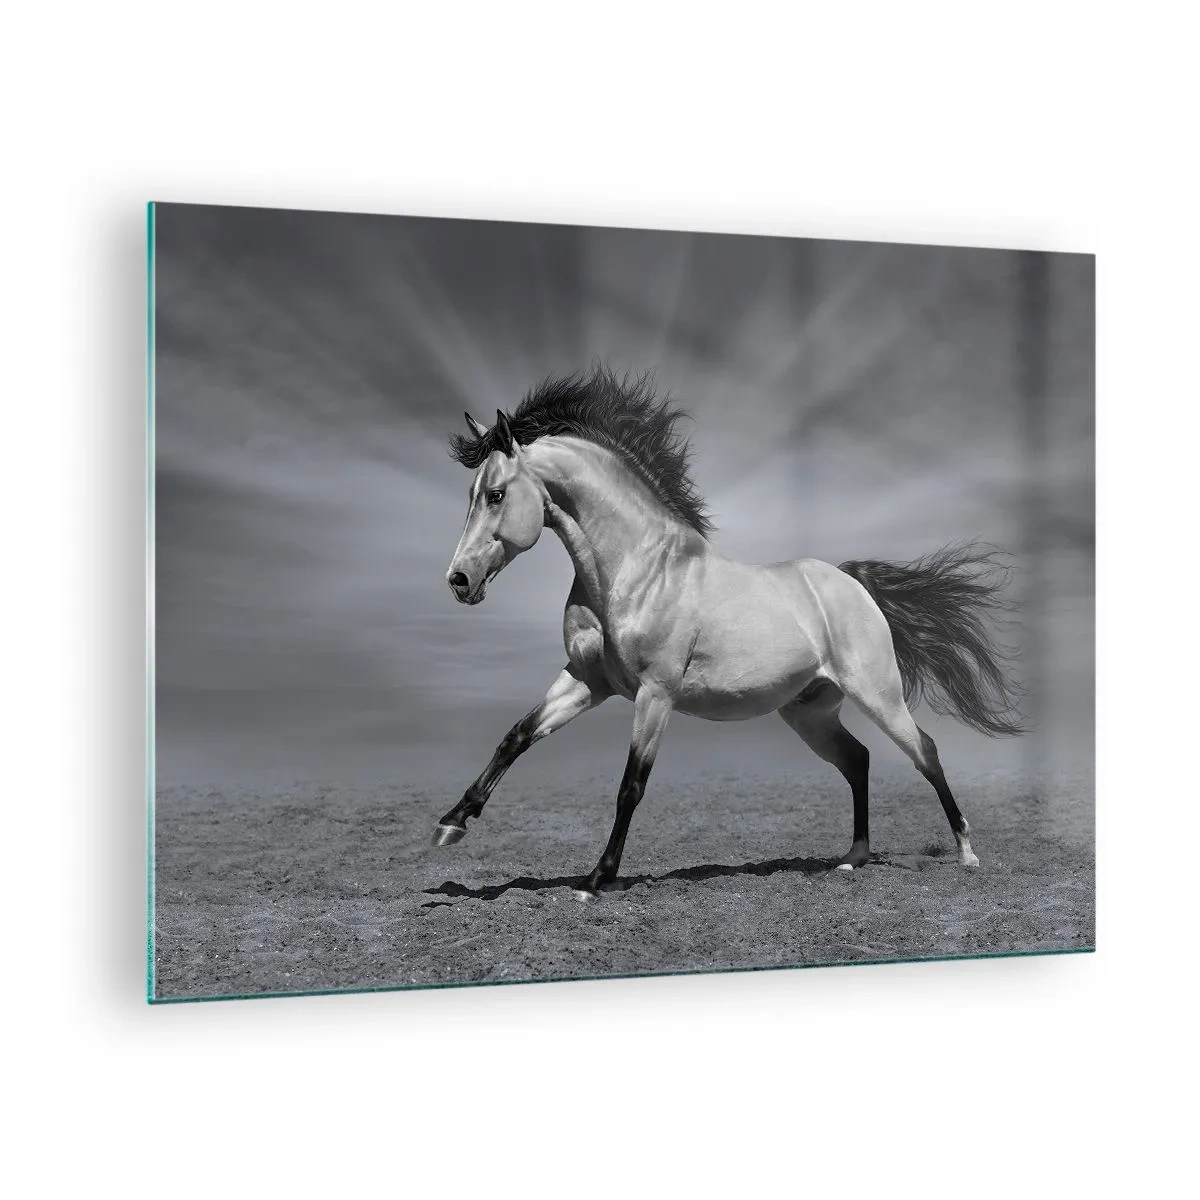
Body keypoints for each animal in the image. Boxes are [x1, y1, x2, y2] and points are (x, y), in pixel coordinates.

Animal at [433, 367, 1023, 901]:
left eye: (495, 495)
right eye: (472, 494)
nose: (459, 581)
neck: (634, 569)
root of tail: (851, 583)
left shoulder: (655, 694)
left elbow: (631, 786)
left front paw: (596, 879)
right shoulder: (586, 680)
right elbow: (516, 735)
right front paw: (452, 822)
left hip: (878, 695)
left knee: (925, 751)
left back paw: (967, 853)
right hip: (809, 713)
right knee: (858, 760)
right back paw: (852, 859)